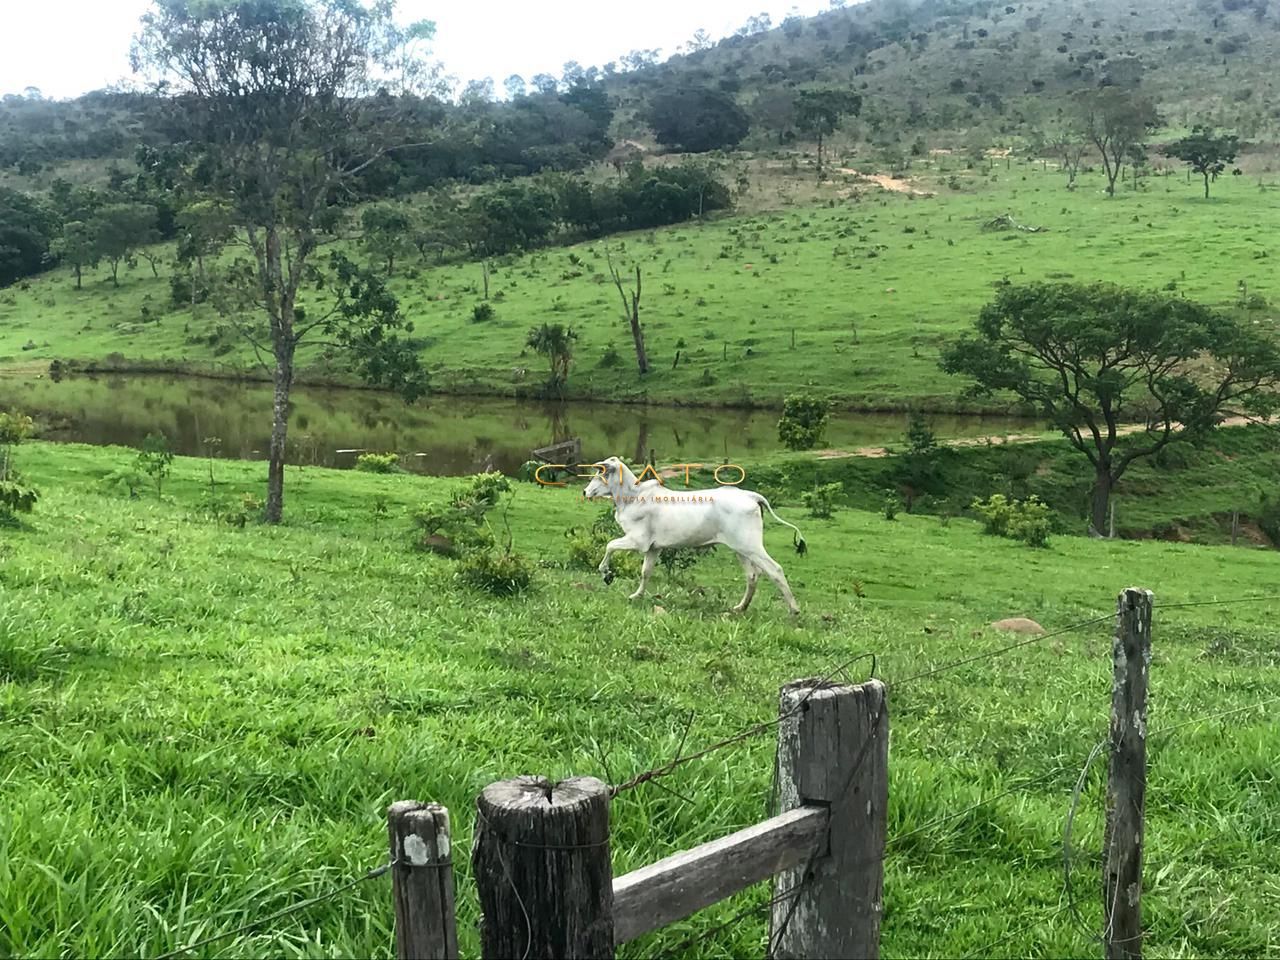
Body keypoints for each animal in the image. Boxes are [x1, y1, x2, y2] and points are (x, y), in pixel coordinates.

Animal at [586, 458, 803, 616]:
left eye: (600, 473)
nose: (585, 491)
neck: (633, 496)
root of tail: (750, 496)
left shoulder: (638, 542)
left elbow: (610, 546)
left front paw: (606, 574)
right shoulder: (654, 548)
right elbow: (645, 572)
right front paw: (636, 595)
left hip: (751, 546)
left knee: (775, 570)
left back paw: (794, 610)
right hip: (741, 549)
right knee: (752, 575)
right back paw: (740, 607)